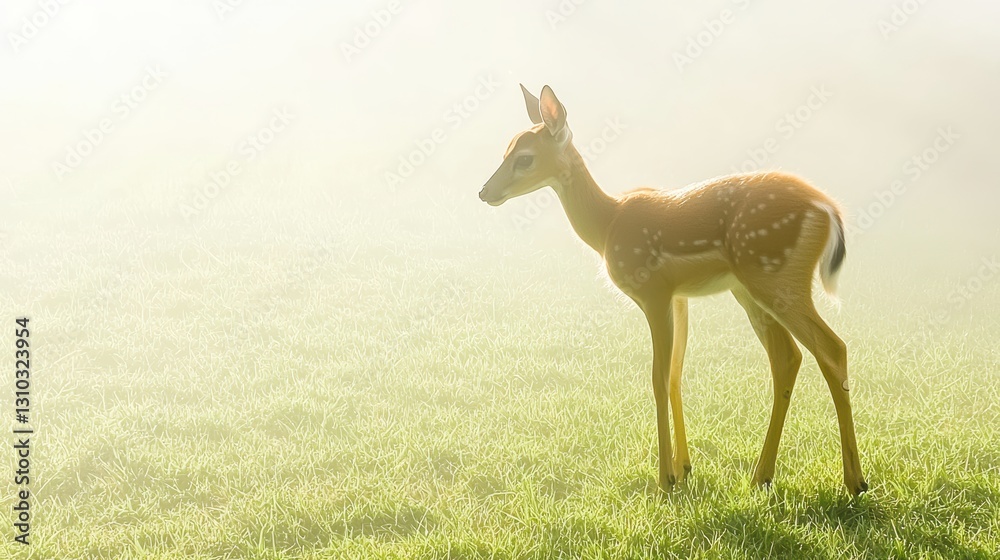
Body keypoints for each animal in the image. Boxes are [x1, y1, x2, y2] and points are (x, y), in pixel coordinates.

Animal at [479, 84, 867, 496]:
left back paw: (854, 480)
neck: (607, 225)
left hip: (776, 278)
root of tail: (829, 210)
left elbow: (657, 377)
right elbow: (677, 373)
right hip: (750, 289)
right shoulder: (679, 297)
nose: (485, 192)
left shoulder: (654, 293)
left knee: (831, 348)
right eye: (505, 149)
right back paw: (761, 476)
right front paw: (684, 468)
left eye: (524, 158)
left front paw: (664, 479)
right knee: (787, 357)